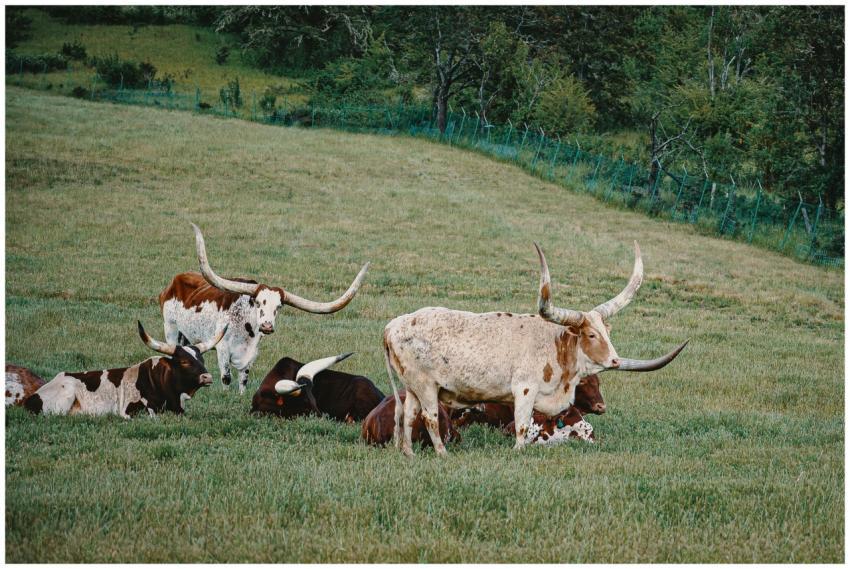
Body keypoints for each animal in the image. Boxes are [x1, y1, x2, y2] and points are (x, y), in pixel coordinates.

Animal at [159, 223, 369, 394]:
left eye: (279, 306)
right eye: (258, 302)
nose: (267, 326)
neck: (244, 327)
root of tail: (175, 280)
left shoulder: (251, 354)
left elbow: (243, 380)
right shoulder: (222, 349)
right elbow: (226, 378)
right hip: (171, 328)